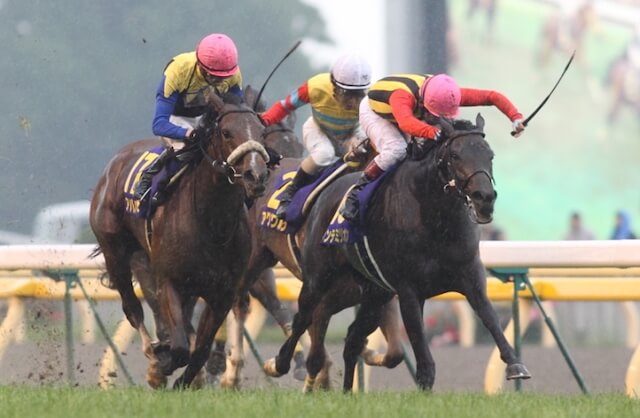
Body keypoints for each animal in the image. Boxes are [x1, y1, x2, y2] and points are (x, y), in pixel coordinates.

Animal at [90, 91, 270, 388]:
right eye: (226, 132)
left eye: (262, 132)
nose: (256, 175)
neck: (211, 224)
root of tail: (114, 163)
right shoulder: (170, 282)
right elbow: (181, 347)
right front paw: (162, 363)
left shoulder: (223, 293)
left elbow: (200, 349)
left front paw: (186, 381)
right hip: (116, 253)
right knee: (133, 309)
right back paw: (152, 356)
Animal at [264, 114, 528, 392]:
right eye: (455, 155)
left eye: (490, 155)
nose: (484, 198)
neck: (434, 218)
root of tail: (323, 195)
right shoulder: (409, 289)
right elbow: (422, 352)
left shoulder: (470, 275)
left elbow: (489, 317)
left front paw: (515, 365)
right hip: (319, 279)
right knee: (303, 317)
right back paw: (279, 363)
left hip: (373, 293)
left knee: (352, 339)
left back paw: (346, 391)